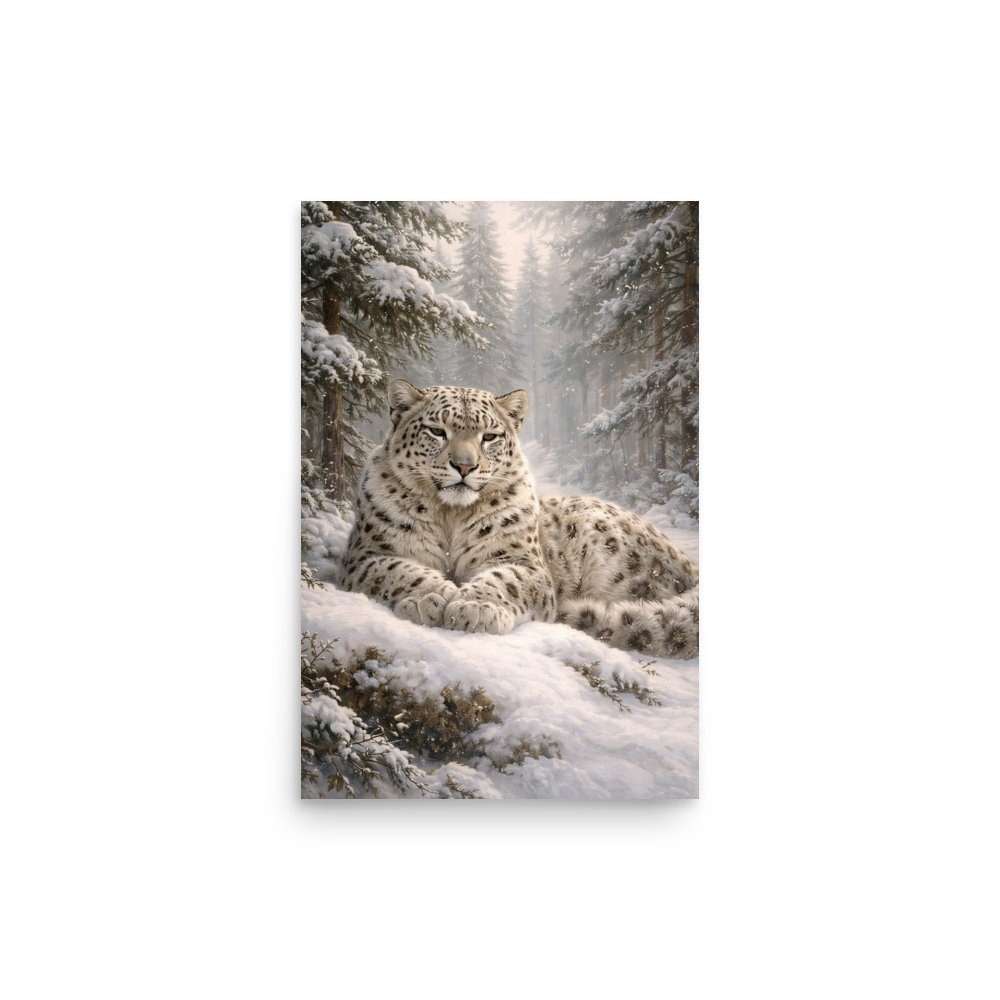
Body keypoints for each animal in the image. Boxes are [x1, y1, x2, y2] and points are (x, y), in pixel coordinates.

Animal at [339, 380, 698, 658]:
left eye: (489, 436)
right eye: (437, 431)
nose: (465, 466)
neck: (451, 515)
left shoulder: (524, 562)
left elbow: (505, 580)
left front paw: (475, 608)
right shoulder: (366, 555)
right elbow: (398, 571)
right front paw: (430, 598)